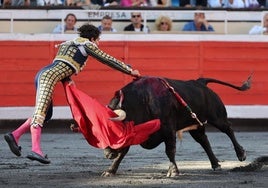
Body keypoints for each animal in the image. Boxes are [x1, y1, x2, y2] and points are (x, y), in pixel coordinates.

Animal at [101, 75, 250, 177]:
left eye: (115, 131)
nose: (108, 154)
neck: (142, 101)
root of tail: (199, 81)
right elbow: (122, 153)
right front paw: (110, 171)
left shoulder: (168, 129)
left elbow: (170, 150)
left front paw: (173, 171)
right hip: (196, 125)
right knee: (204, 141)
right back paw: (215, 164)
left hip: (217, 117)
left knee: (228, 129)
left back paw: (241, 154)